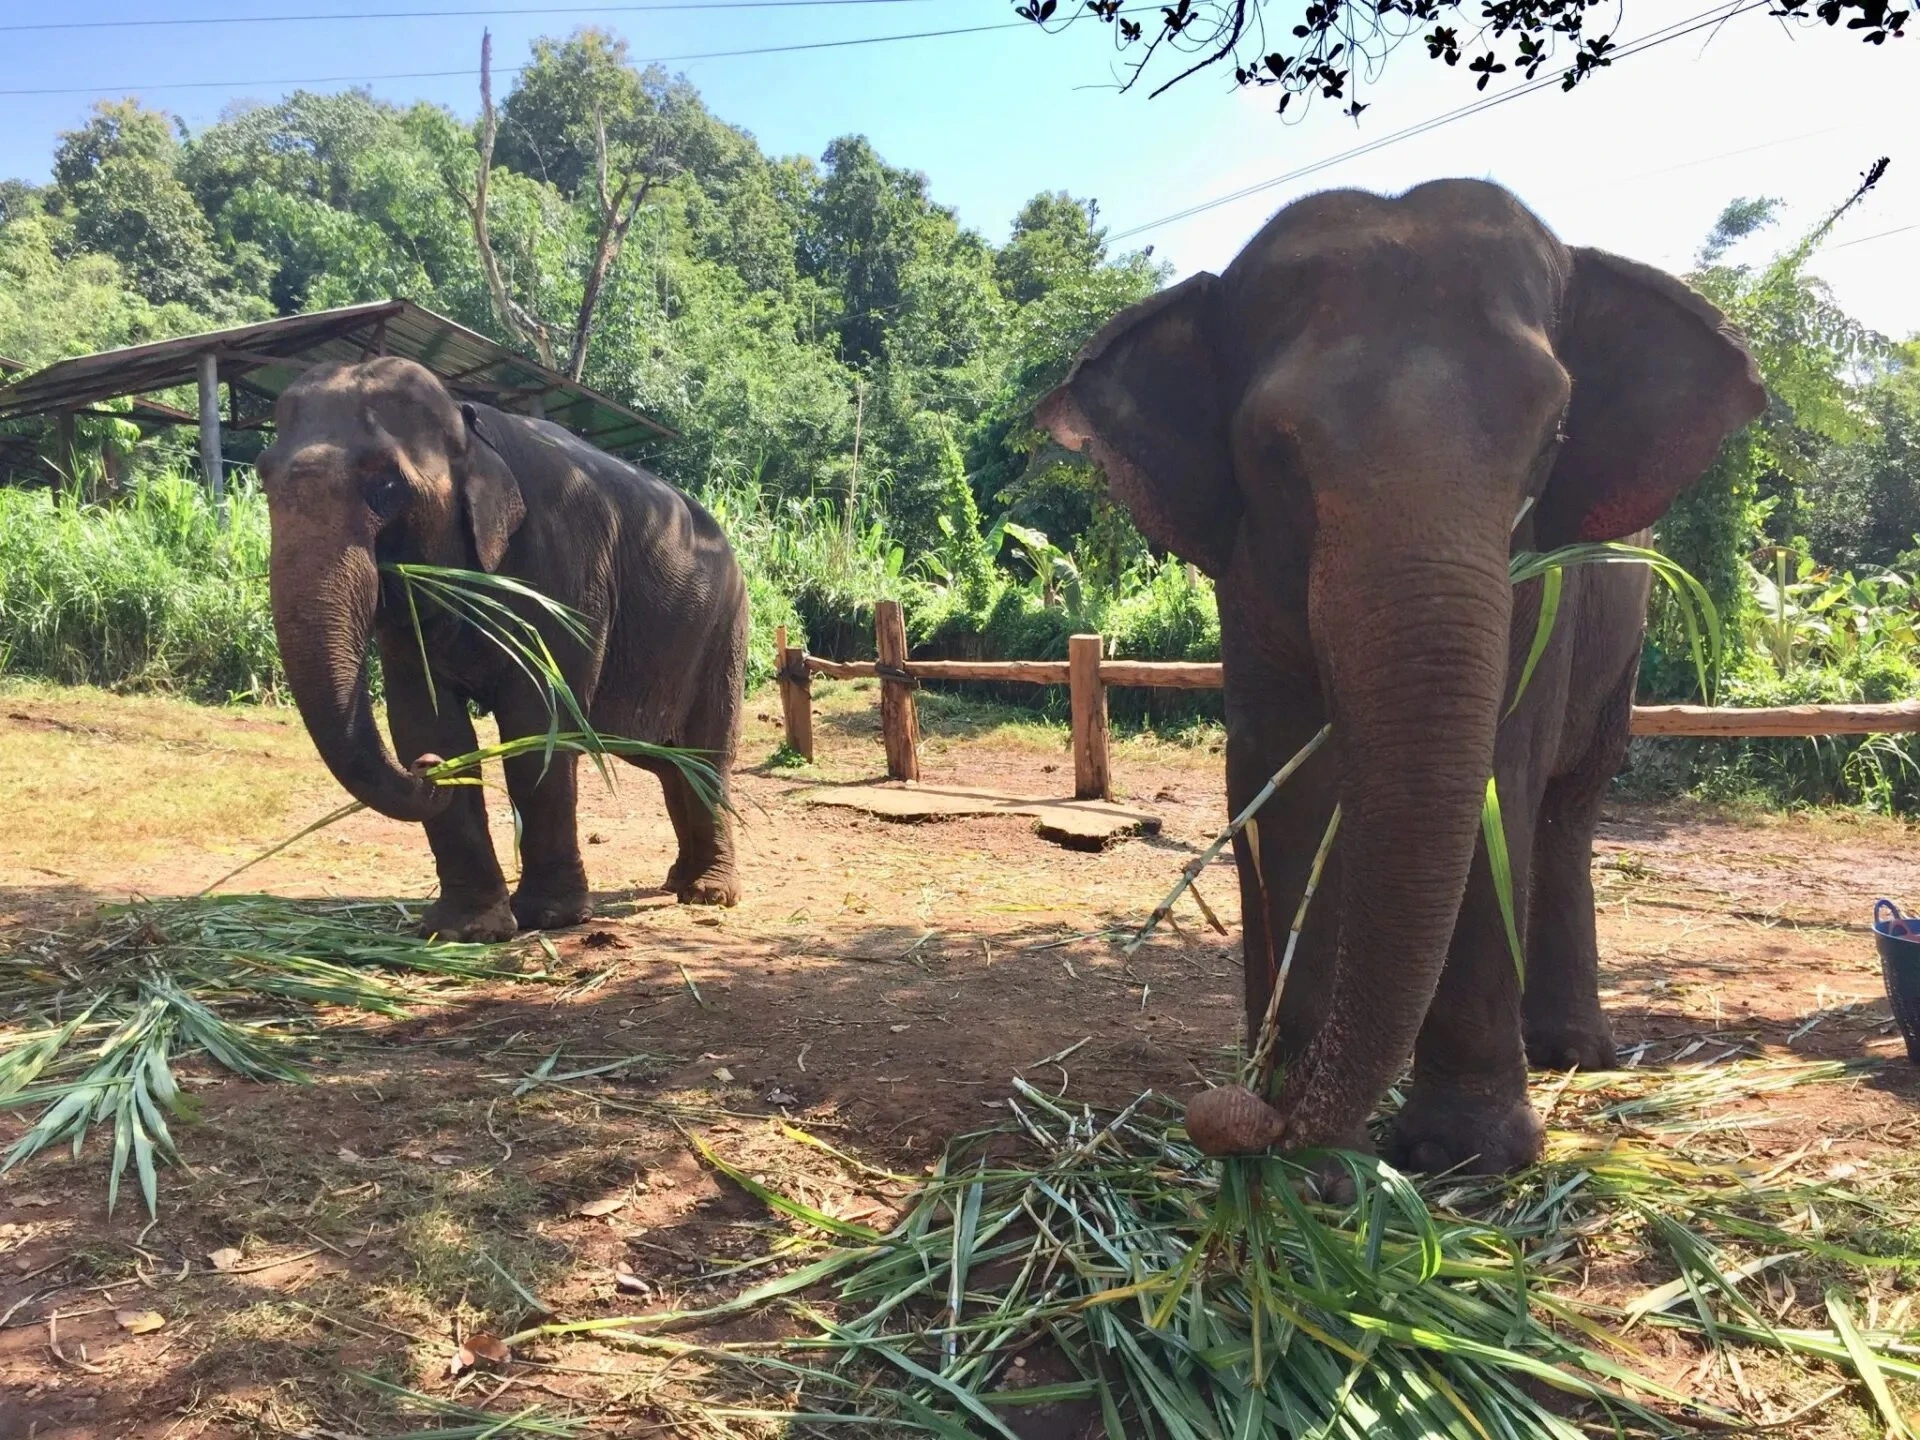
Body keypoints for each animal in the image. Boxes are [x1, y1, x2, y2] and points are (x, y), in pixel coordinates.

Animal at [257, 357, 747, 941]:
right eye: (261, 478)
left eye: (389, 483)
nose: (424, 770)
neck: (470, 426)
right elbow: (426, 722)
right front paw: (465, 930)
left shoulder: (565, 571)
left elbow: (537, 724)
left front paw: (551, 918)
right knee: (669, 763)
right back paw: (680, 881)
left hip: (724, 631)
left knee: (706, 754)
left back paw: (710, 894)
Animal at [1036, 179, 1764, 1175]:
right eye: (1276, 449)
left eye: (1554, 434)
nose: (1236, 1117)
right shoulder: (1246, 576)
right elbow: (1280, 773)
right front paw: (1310, 1159)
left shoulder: (1543, 590)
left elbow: (1498, 773)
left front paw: (1466, 1154)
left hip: (1626, 635)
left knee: (1568, 806)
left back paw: (1573, 1055)